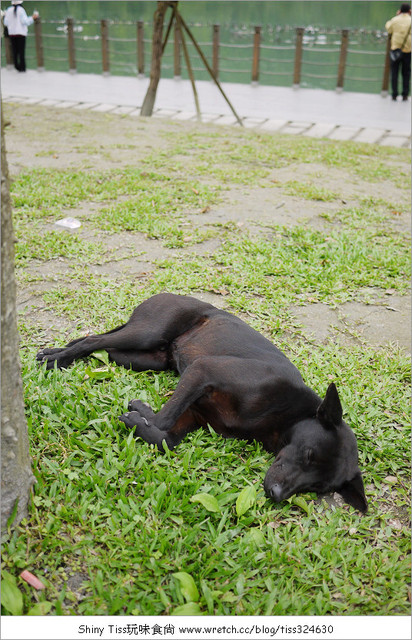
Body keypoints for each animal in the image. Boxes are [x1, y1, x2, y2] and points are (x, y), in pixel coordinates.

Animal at [36, 292, 366, 512]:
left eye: (317, 487)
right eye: (309, 454)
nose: (275, 494)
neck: (285, 411)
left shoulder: (194, 413)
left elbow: (165, 438)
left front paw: (140, 416)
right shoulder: (203, 370)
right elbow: (164, 418)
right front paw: (141, 414)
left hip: (140, 358)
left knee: (94, 344)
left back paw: (58, 353)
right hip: (147, 334)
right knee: (93, 340)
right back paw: (57, 358)